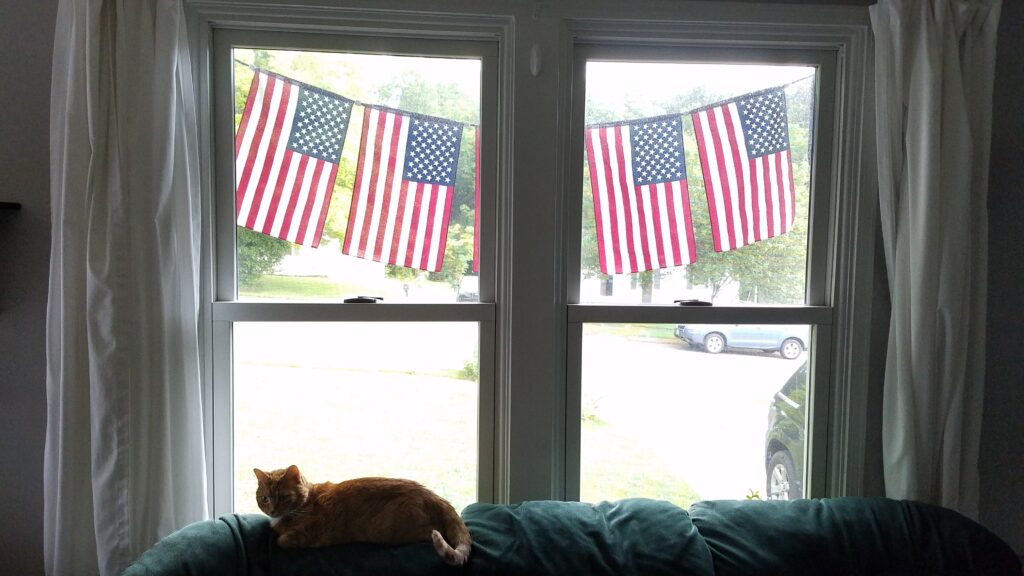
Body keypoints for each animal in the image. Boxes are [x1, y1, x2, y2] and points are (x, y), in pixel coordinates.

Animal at [251, 463, 471, 561]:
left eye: (283, 497)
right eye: (265, 498)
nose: (272, 510)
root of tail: (434, 496)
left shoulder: (304, 535)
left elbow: (281, 540)